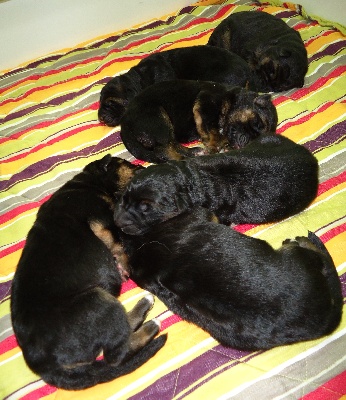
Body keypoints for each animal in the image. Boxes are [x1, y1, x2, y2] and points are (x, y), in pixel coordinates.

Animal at [9, 155, 166, 390]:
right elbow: (118, 243)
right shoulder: (103, 221)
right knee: (116, 355)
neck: (89, 183)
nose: (143, 168)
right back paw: (150, 325)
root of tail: (43, 365)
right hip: (98, 299)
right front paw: (124, 264)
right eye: (129, 166)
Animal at [120, 80, 278, 164]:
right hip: (160, 120)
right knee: (166, 150)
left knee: (171, 145)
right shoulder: (205, 107)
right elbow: (213, 131)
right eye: (256, 122)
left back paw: (194, 152)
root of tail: (124, 125)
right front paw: (216, 144)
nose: (246, 143)